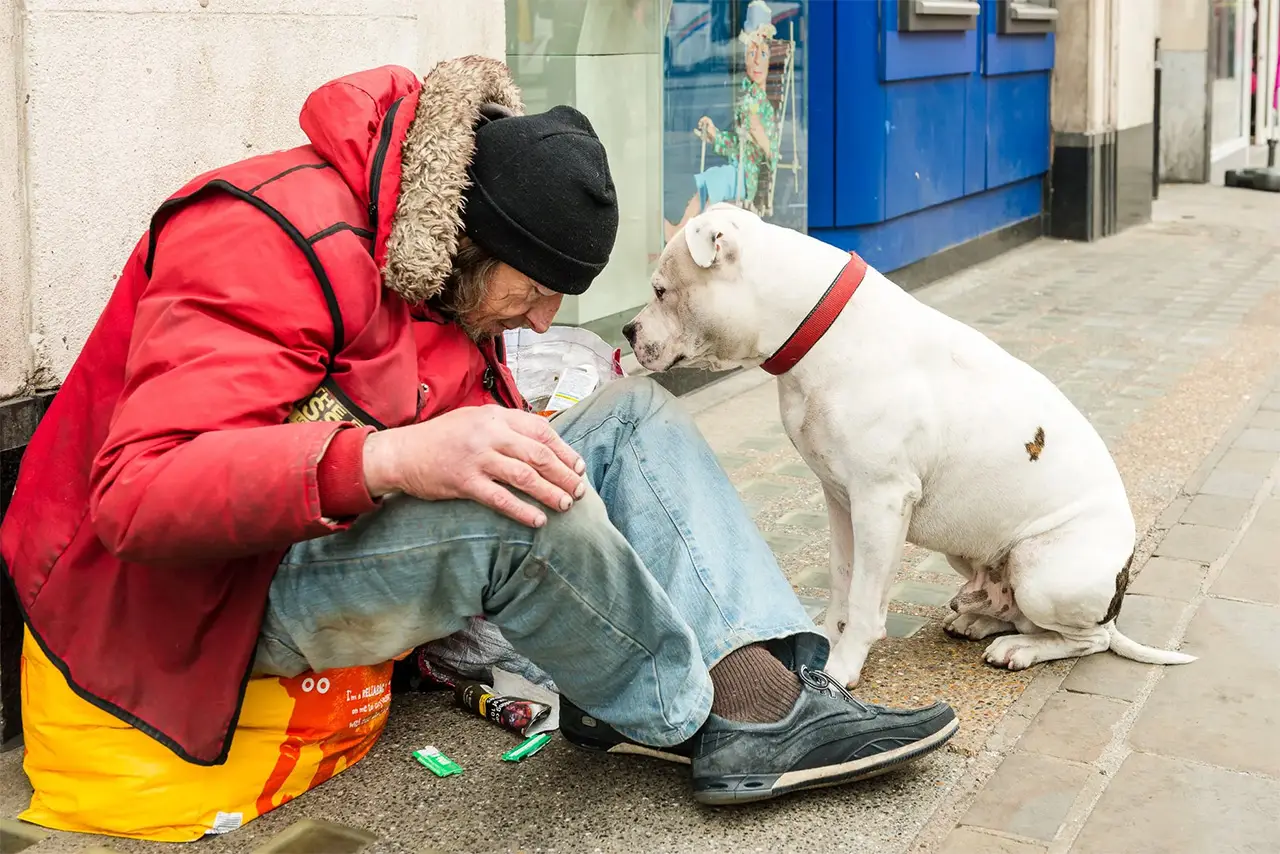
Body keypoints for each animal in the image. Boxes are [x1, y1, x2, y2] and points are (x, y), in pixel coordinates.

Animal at [624, 204, 1192, 686]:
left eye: (660, 290)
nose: (627, 330)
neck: (819, 325)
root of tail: (1119, 584)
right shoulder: (839, 499)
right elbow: (842, 581)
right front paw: (826, 640)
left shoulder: (880, 501)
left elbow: (864, 600)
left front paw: (842, 668)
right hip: (974, 555)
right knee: (1022, 614)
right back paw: (983, 623)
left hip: (1043, 571)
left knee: (1085, 638)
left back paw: (1023, 649)